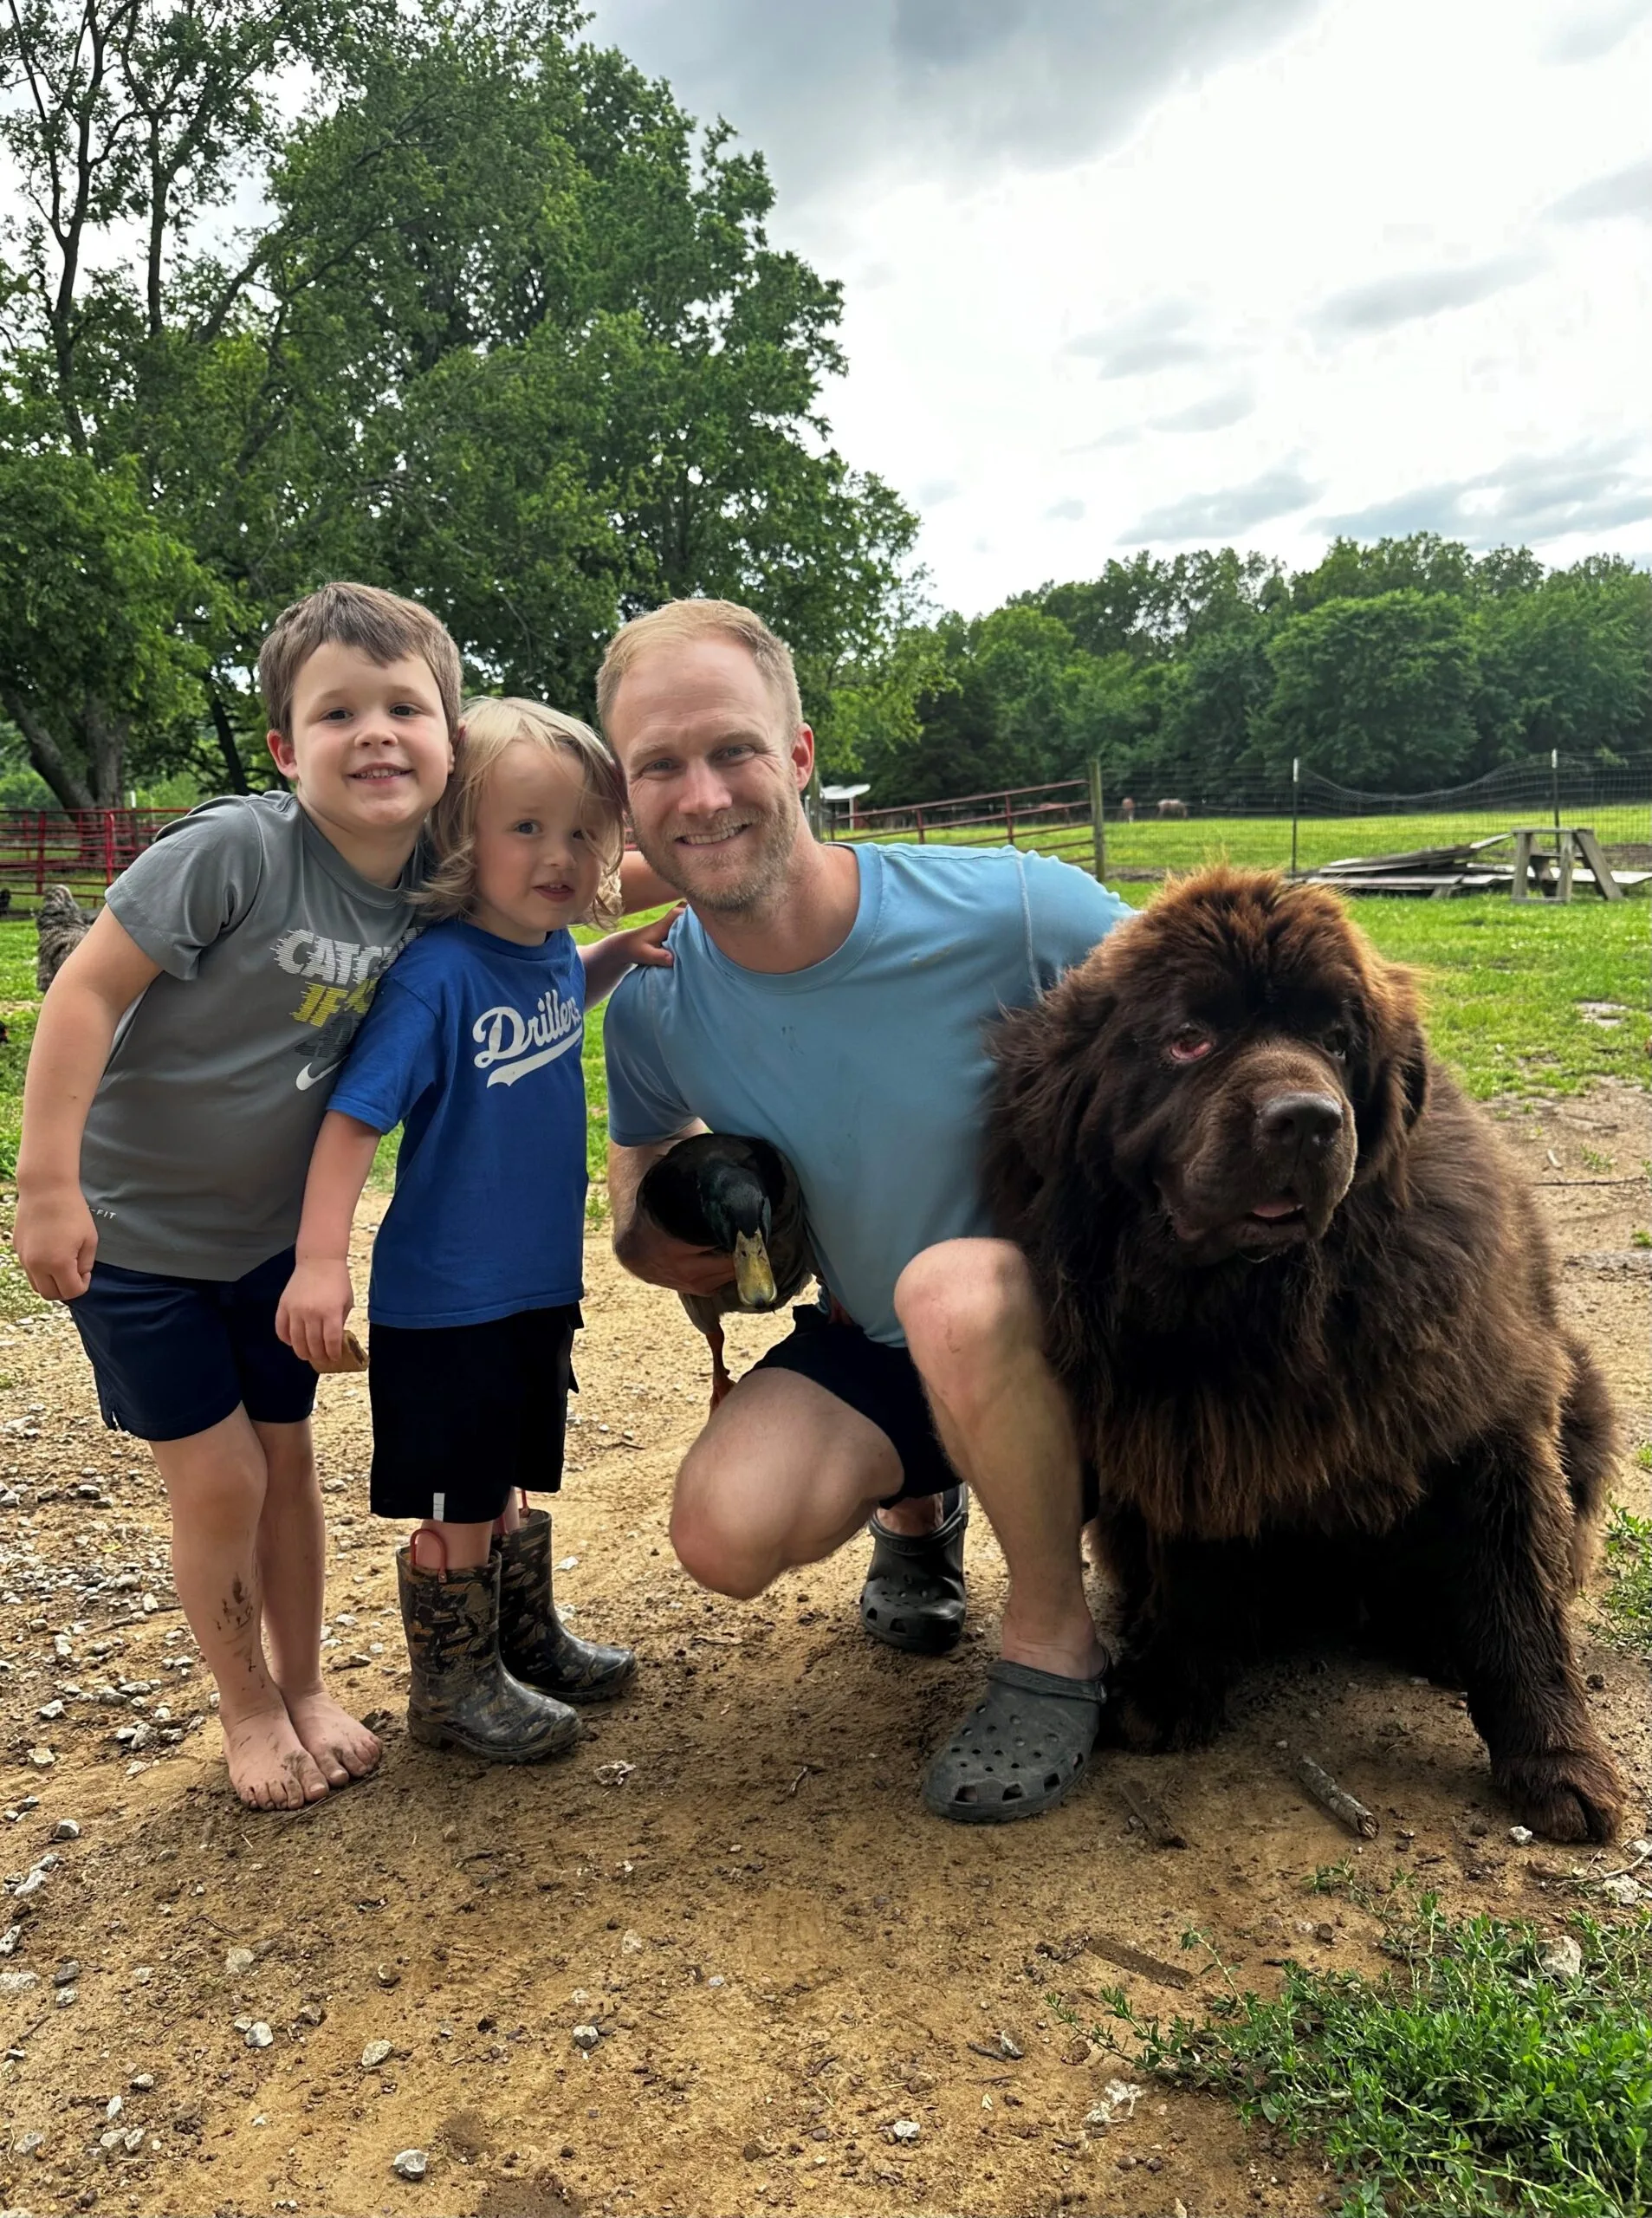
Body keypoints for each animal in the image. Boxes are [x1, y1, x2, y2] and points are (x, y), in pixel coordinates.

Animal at [980, 860, 1623, 1836]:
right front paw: (1171, 1688)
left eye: (1334, 1039)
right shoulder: (1186, 1437)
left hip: (1583, 1390)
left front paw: (1558, 1763)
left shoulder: (1489, 1417)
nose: (1306, 1119)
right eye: (1187, 1039)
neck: (1267, 1298)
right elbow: (1195, 1570)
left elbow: (1520, 1597)